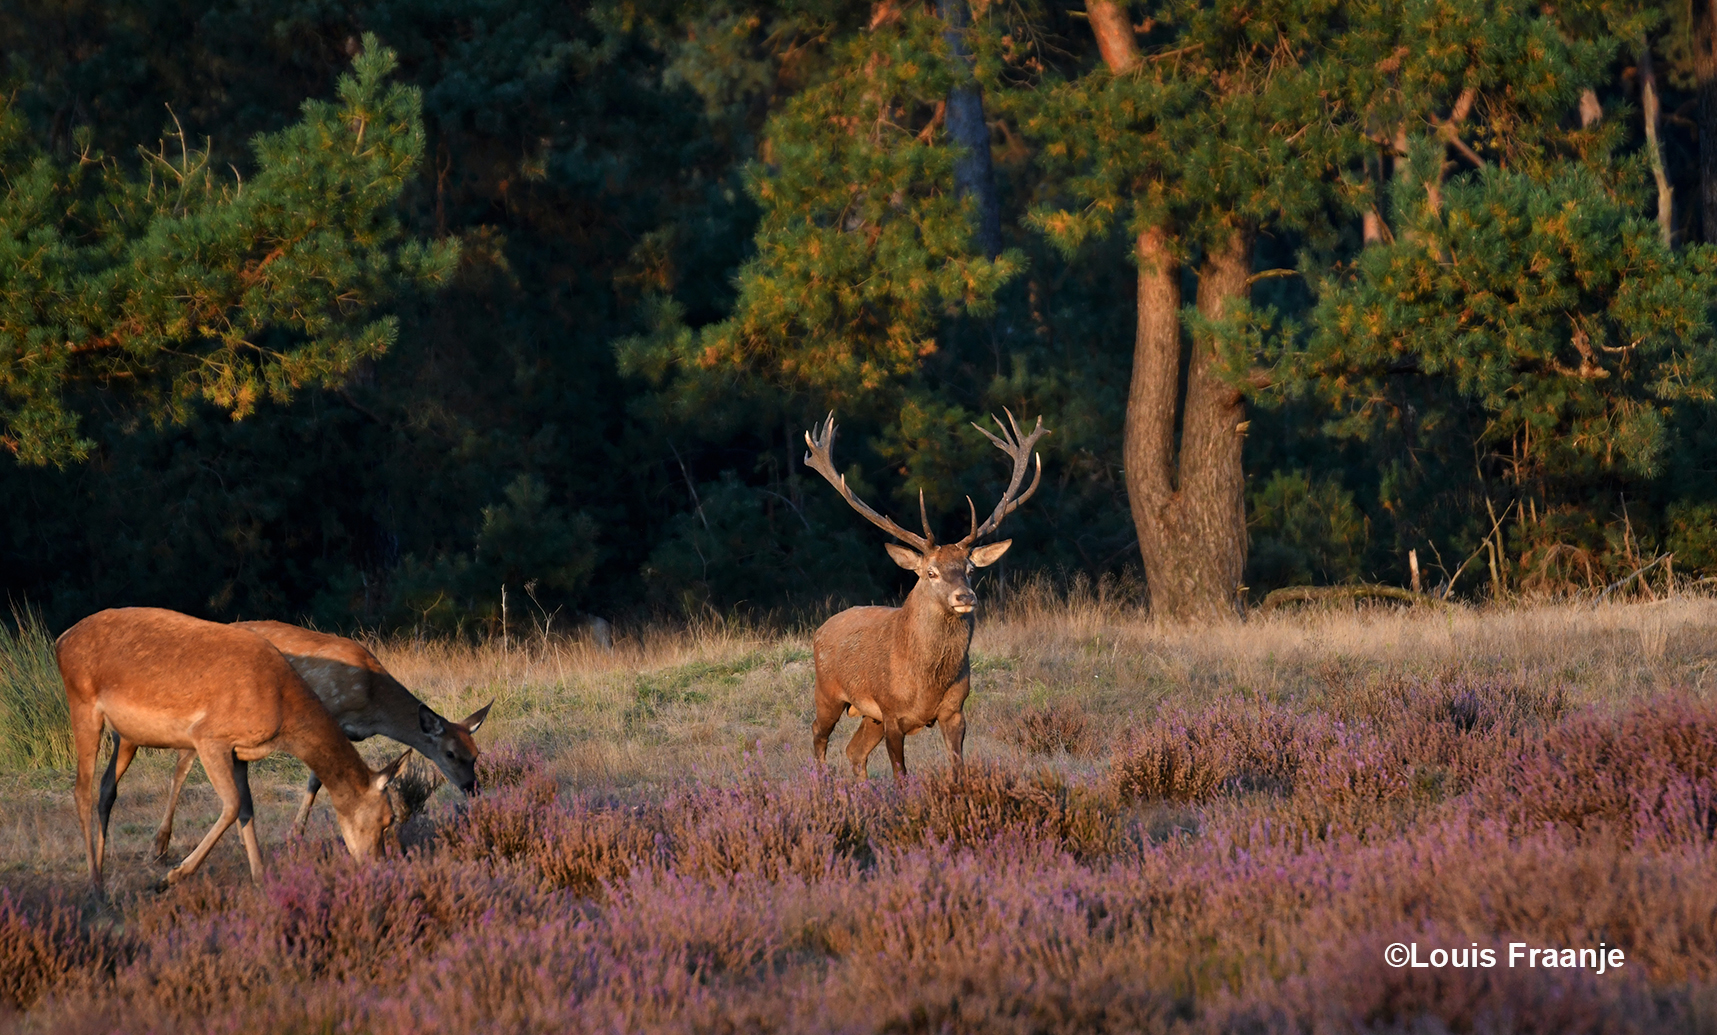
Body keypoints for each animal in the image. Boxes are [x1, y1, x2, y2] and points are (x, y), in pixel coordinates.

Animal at [56, 607, 408, 892]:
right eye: (388, 818)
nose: (379, 867)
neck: (282, 707)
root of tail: (60, 641)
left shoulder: (240, 751)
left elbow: (247, 807)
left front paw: (260, 877)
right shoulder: (208, 736)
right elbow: (233, 804)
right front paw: (170, 877)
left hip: (123, 733)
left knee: (106, 788)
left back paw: (102, 872)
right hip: (83, 706)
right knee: (82, 790)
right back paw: (96, 885)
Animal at [147, 624, 497, 858]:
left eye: (476, 753)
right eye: (450, 754)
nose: (472, 787)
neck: (372, 703)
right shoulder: (329, 715)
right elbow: (316, 780)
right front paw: (295, 834)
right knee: (182, 760)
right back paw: (160, 843)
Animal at [803, 410, 1043, 775]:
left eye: (970, 570)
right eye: (931, 572)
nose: (965, 597)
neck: (925, 685)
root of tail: (820, 629)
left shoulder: (955, 710)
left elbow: (957, 768)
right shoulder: (890, 713)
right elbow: (901, 775)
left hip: (868, 716)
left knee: (854, 751)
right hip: (827, 691)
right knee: (819, 734)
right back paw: (821, 781)